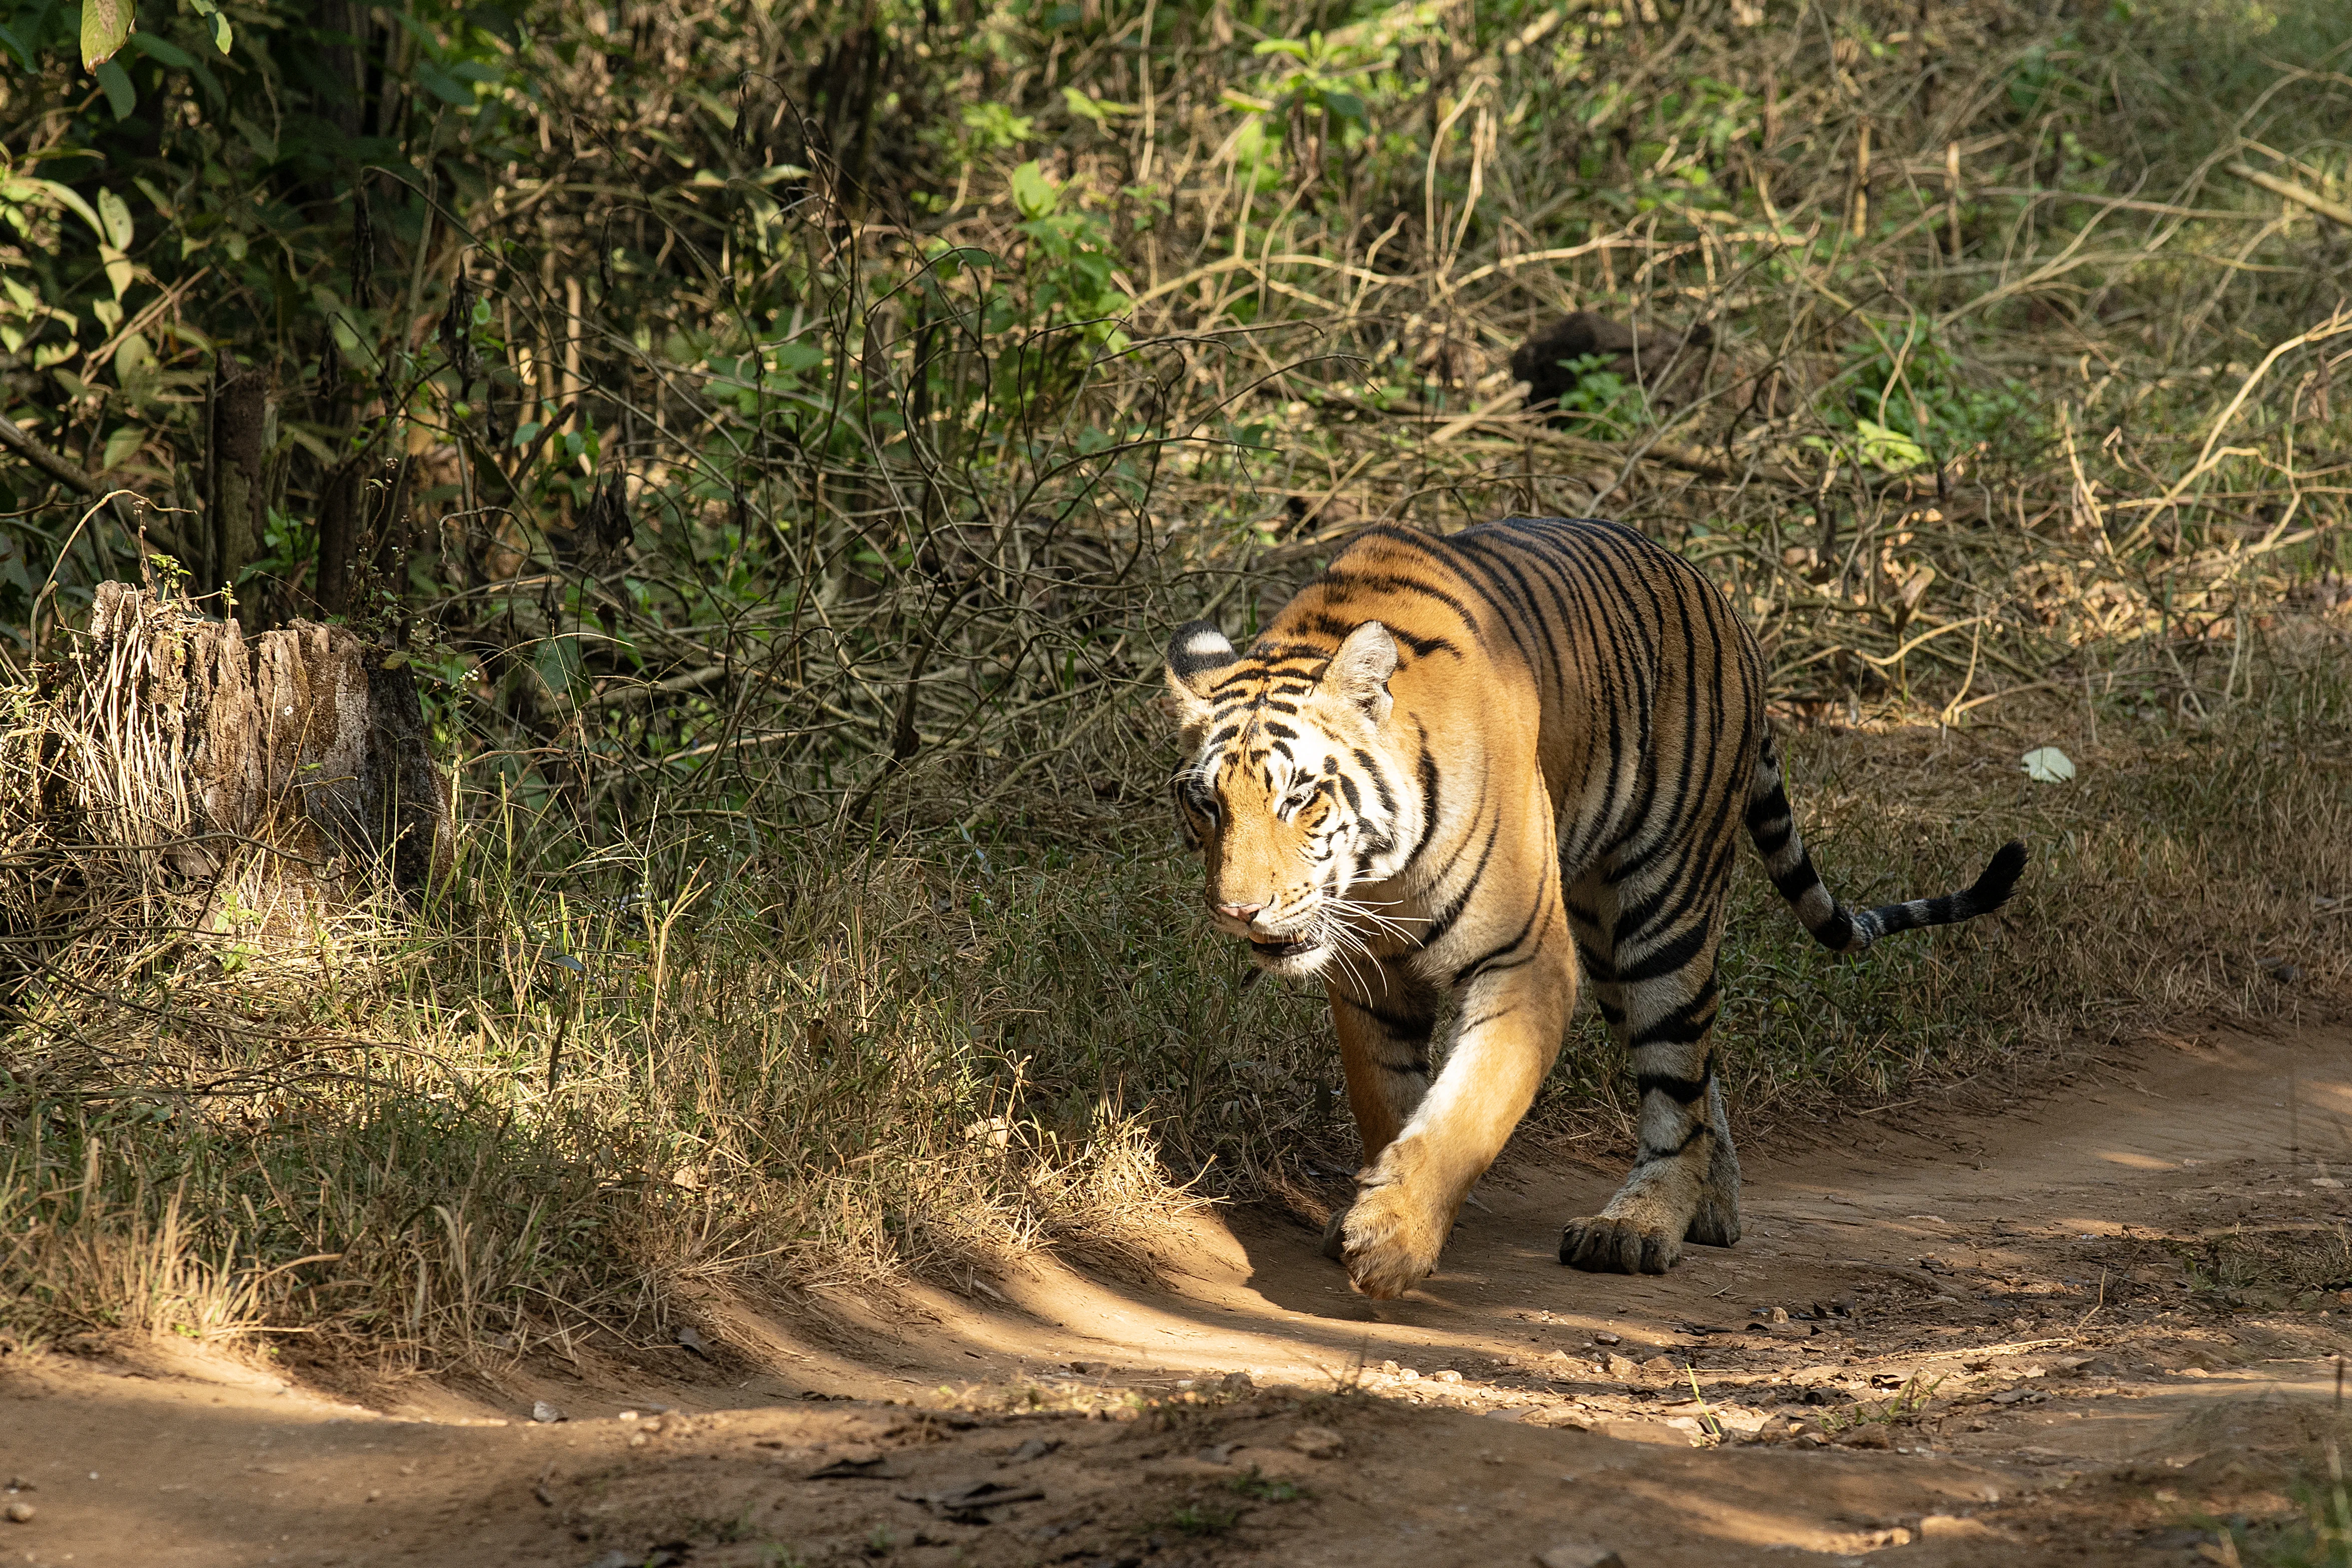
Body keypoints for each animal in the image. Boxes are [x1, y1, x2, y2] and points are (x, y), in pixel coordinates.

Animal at [1163, 515, 2025, 1298]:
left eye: (1298, 798)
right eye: (1207, 805)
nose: (1237, 911)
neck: (1380, 878)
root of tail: (1722, 604)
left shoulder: (1526, 961)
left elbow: (1465, 1111)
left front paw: (1393, 1238)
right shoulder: (1370, 979)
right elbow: (1389, 1099)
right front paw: (1371, 1209)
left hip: (1663, 912)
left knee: (1677, 1077)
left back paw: (1639, 1225)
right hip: (1607, 939)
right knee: (1700, 1071)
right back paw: (1712, 1207)